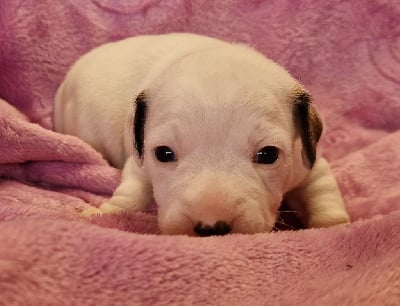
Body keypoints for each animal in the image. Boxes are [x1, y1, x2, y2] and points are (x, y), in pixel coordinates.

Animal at [54, 31, 350, 237]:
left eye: (268, 154)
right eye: (164, 153)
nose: (212, 227)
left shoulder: (306, 161)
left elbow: (322, 190)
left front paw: (334, 224)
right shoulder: (139, 159)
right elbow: (131, 192)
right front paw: (108, 210)